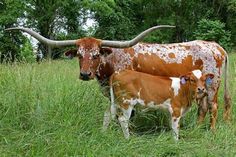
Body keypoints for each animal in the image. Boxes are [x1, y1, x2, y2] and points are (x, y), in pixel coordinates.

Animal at [5, 25, 230, 130]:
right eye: (79, 54)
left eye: (96, 54)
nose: (85, 74)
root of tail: (216, 46)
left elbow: (128, 115)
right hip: (199, 89)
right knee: (203, 108)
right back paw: (197, 127)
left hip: (212, 86)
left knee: (214, 106)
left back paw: (210, 131)